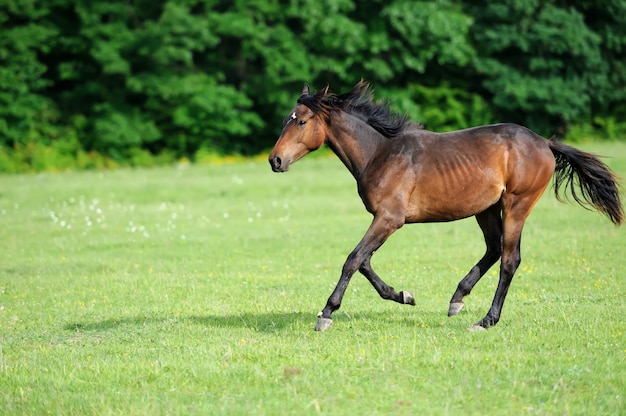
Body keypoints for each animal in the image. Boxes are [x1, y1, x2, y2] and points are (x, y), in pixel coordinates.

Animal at [266, 80, 620, 332]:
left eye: (301, 122)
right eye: (286, 119)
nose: (275, 160)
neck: (379, 153)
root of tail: (544, 142)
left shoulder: (389, 219)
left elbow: (353, 259)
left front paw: (326, 313)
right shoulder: (385, 219)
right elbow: (364, 262)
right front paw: (404, 296)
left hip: (517, 205)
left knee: (510, 259)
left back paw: (485, 321)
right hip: (486, 209)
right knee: (494, 250)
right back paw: (457, 300)